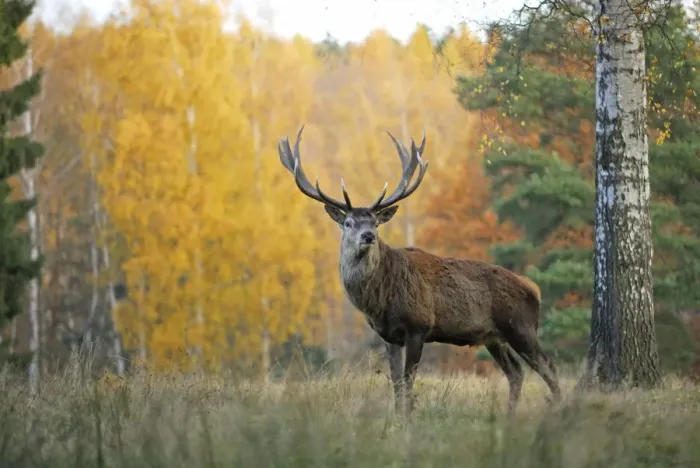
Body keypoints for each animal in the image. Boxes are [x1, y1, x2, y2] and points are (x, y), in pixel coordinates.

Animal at [276, 126, 561, 416]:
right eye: (348, 222)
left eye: (375, 222)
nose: (368, 236)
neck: (378, 300)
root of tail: (533, 287)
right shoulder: (389, 335)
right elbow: (395, 381)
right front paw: (397, 416)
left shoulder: (418, 326)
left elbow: (408, 380)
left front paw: (407, 417)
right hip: (494, 337)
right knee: (515, 372)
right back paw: (509, 416)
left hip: (520, 325)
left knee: (548, 367)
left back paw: (559, 408)